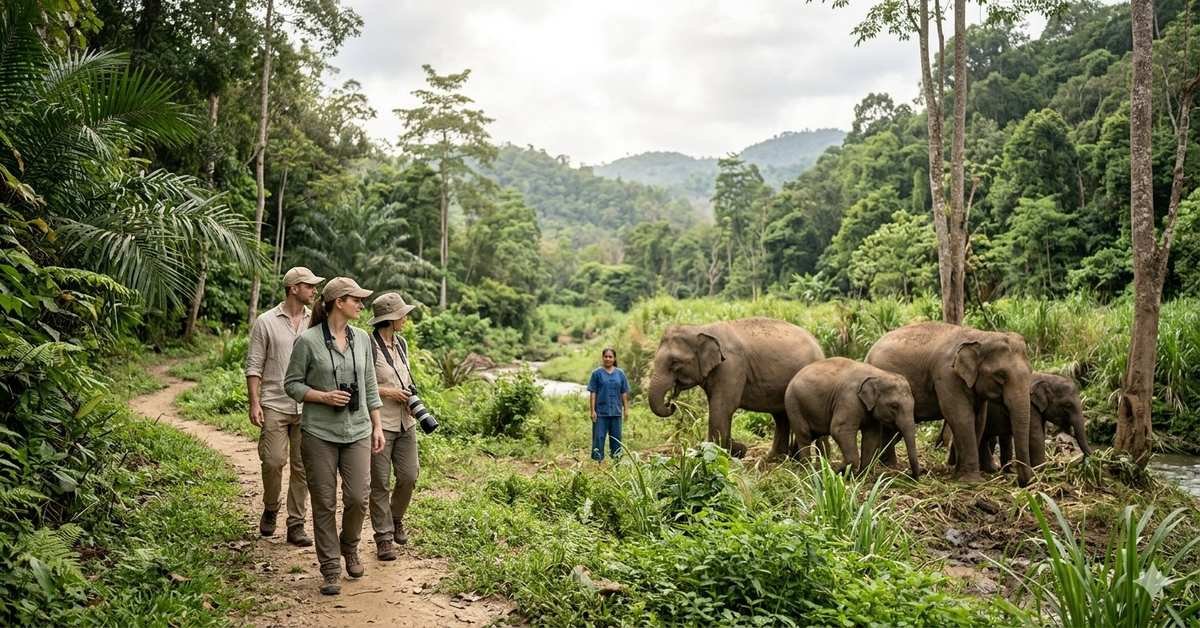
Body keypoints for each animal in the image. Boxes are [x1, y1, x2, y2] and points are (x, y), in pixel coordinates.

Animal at [648, 317, 825, 459]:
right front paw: (732, 449)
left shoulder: (732, 365)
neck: (701, 328)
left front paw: (718, 453)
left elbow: (722, 407)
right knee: (780, 416)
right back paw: (774, 459)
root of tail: (819, 346)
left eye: (675, 362)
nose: (671, 403)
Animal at [785, 358, 921, 478]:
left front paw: (862, 475)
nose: (911, 475)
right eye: (894, 406)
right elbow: (839, 430)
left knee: (810, 434)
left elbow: (871, 436)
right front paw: (838, 473)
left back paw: (796, 464)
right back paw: (807, 469)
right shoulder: (849, 398)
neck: (878, 374)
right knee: (804, 434)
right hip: (793, 404)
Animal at [866, 322, 1035, 486]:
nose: (1023, 483)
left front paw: (958, 475)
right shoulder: (947, 375)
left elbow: (979, 420)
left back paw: (889, 466)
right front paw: (971, 482)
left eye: (1030, 372)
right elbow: (961, 417)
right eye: (1000, 375)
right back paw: (890, 467)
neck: (980, 335)